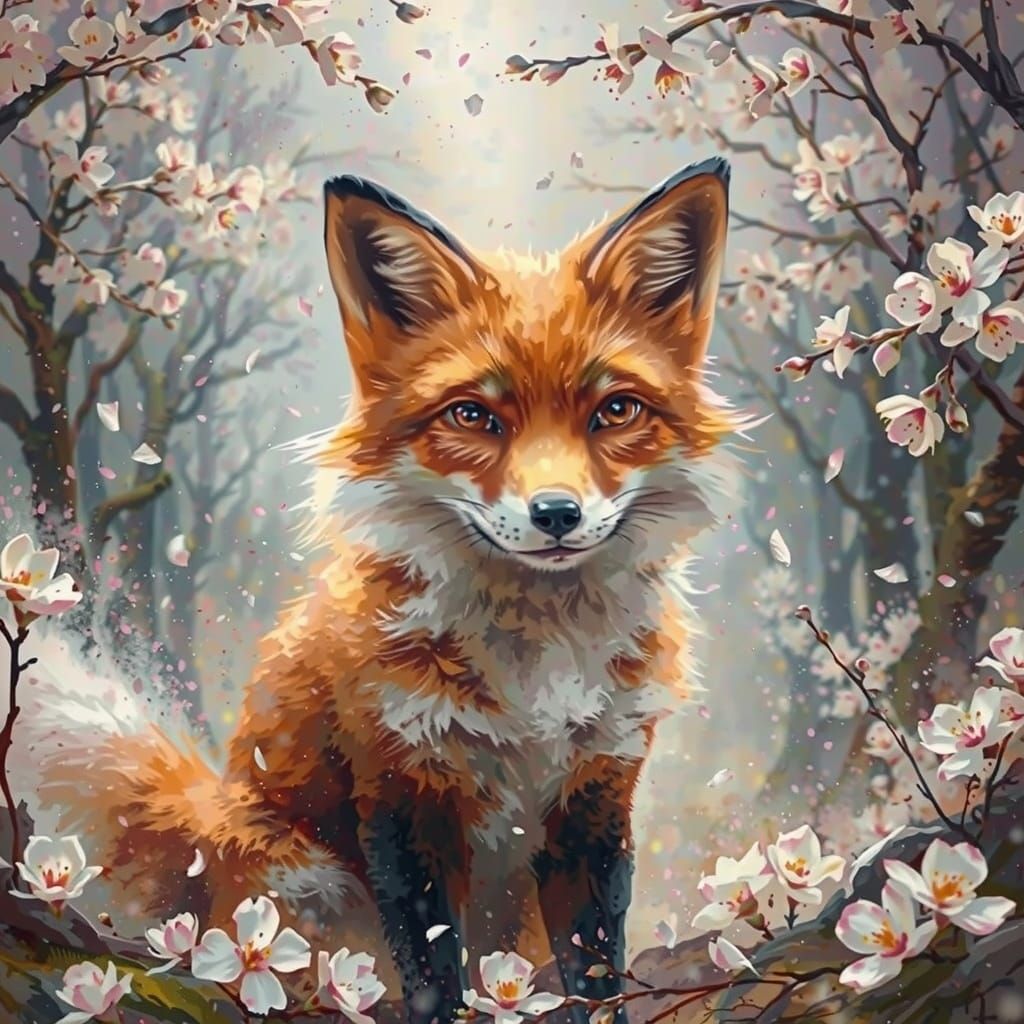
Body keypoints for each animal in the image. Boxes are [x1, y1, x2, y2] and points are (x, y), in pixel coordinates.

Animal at [25, 157, 741, 1024]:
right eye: (473, 415)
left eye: (616, 410)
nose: (557, 514)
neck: (533, 669)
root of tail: (206, 825)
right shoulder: (404, 795)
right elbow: (434, 974)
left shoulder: (595, 799)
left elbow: (596, 970)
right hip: (306, 890)